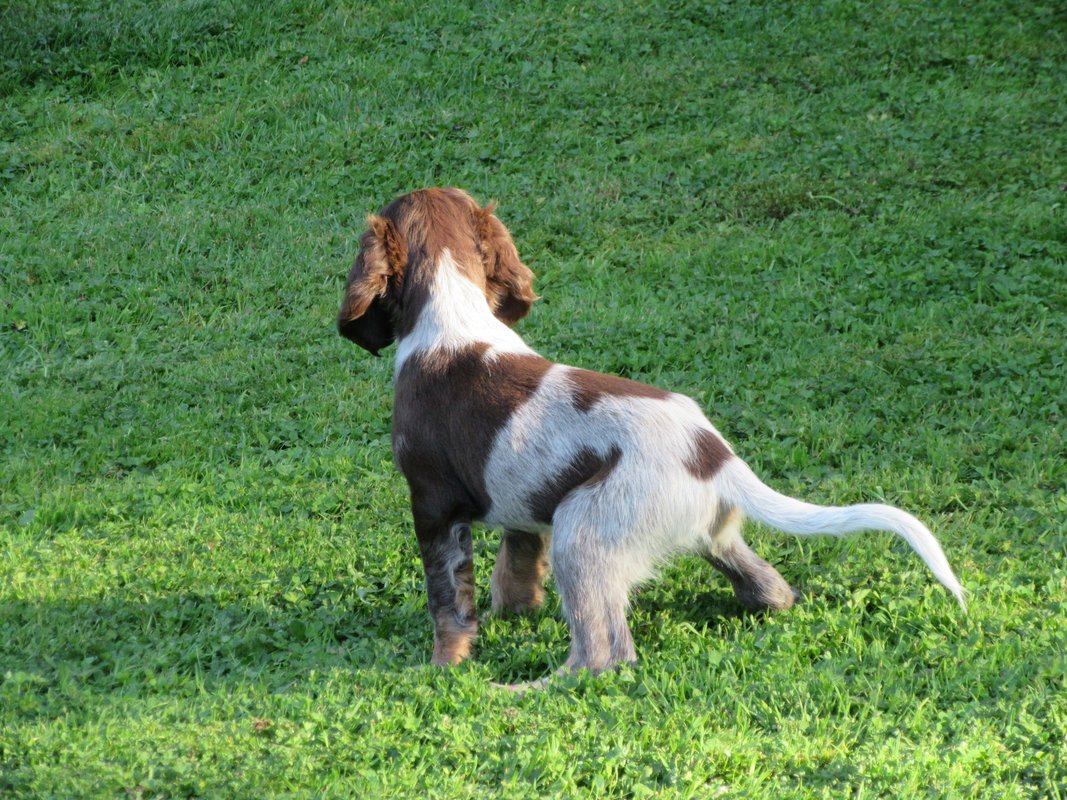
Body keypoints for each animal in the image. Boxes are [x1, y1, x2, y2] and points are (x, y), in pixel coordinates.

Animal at [335, 187, 968, 678]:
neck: (451, 313)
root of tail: (717, 456)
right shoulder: (522, 502)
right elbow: (514, 567)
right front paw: (512, 615)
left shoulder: (432, 504)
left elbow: (448, 601)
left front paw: (445, 667)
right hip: (706, 533)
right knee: (767, 586)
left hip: (582, 532)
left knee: (604, 654)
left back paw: (525, 690)